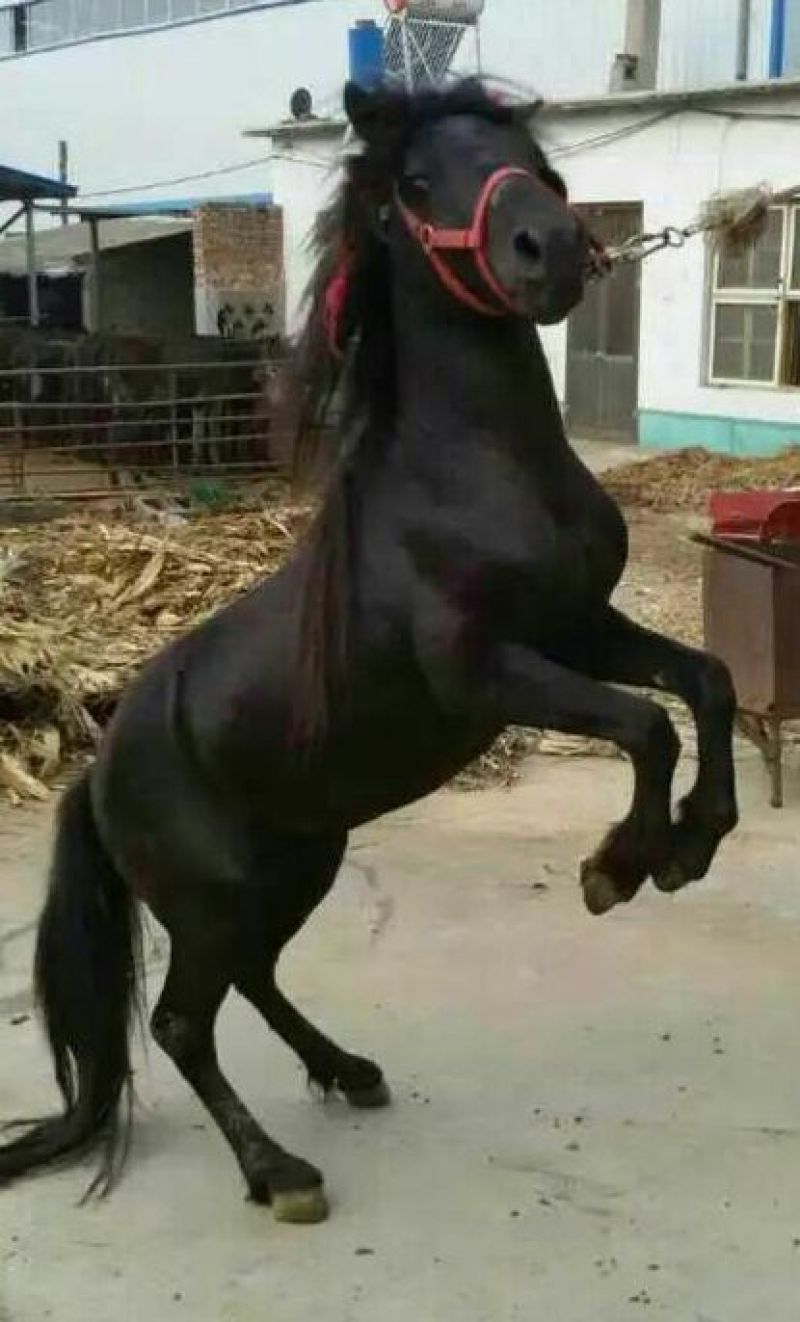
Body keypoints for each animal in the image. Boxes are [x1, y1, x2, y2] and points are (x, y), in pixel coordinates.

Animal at [0, 80, 738, 1224]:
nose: (550, 249)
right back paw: (279, 1174)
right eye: (417, 184)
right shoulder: (485, 670)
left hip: (297, 862)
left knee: (251, 981)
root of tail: (97, 771)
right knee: (181, 1022)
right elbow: (644, 723)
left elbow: (705, 682)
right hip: (215, 894)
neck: (473, 475)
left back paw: (345, 1071)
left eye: (541, 163)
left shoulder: (582, 627)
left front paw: (692, 844)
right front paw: (618, 866)